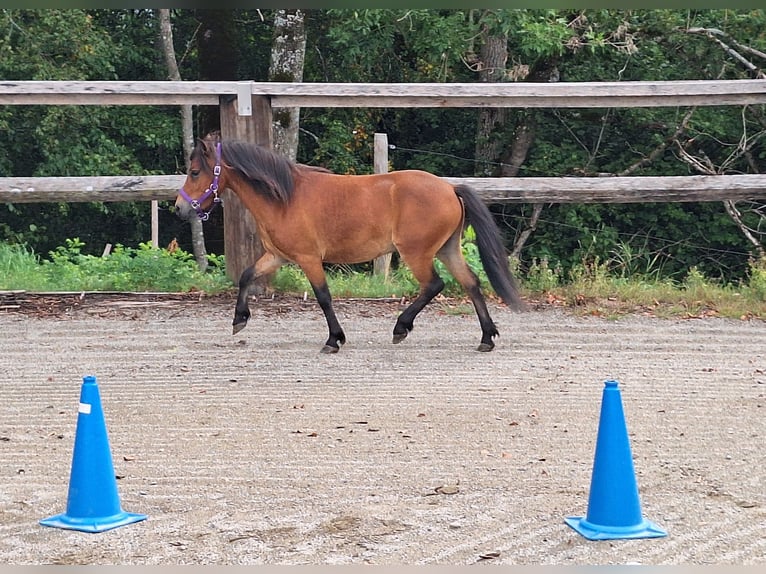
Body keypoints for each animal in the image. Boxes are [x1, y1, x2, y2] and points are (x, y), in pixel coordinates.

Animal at [175, 132, 526, 354]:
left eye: (194, 172)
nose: (179, 209)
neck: (284, 197)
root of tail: (450, 188)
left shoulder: (308, 258)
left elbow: (323, 297)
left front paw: (334, 340)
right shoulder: (277, 256)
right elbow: (247, 275)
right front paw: (239, 320)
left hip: (417, 253)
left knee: (434, 285)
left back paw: (401, 328)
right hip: (447, 248)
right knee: (471, 282)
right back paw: (486, 337)